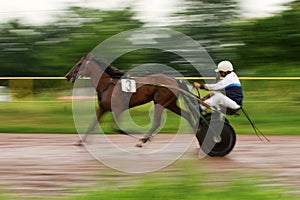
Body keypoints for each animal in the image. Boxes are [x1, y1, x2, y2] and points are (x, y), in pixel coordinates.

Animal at [66, 54, 197, 146]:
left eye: (79, 64)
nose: (67, 76)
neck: (108, 84)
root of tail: (175, 80)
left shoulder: (118, 109)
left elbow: (117, 128)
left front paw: (138, 134)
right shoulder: (102, 108)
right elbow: (92, 124)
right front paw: (81, 142)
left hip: (160, 102)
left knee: (156, 122)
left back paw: (143, 140)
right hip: (170, 104)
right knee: (187, 115)